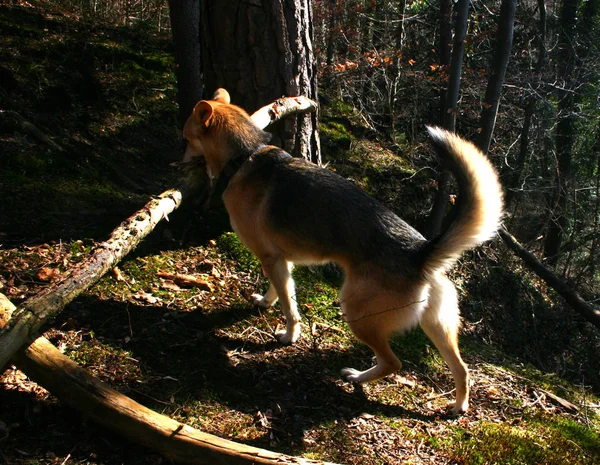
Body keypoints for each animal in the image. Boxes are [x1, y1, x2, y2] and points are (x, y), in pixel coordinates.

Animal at [182, 89, 502, 412]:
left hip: (356, 312)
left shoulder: (271, 258)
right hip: (437, 326)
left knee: (393, 363)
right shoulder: (280, 261)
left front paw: (289, 336)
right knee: (462, 369)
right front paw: (266, 301)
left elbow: (290, 308)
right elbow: (282, 291)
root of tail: (420, 252)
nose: (180, 163)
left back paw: (358, 377)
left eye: (186, 138)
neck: (244, 156)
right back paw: (458, 407)